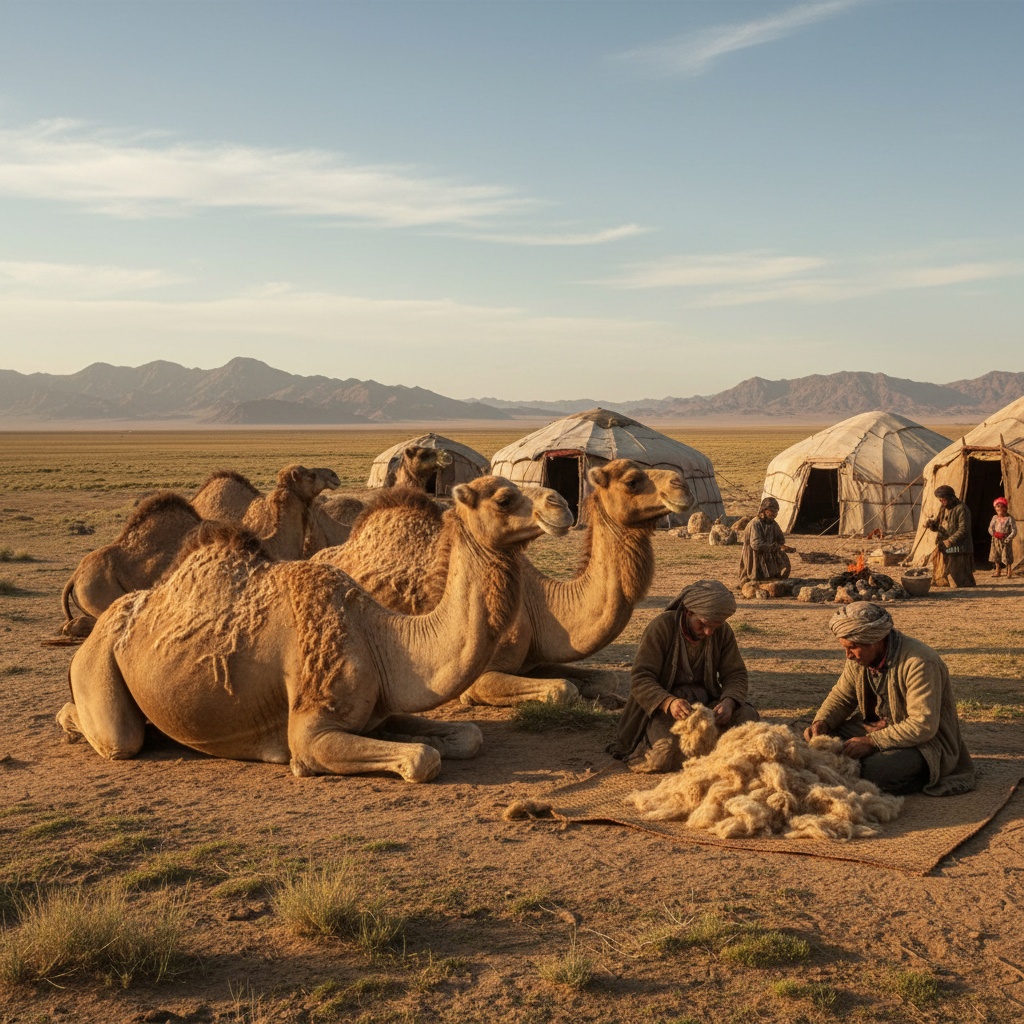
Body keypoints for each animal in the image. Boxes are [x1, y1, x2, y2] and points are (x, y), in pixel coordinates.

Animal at [316, 459, 694, 706]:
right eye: (632, 481)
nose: (682, 485)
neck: (540, 602)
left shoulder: (535, 660)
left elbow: (606, 677)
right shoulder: (481, 675)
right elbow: (563, 689)